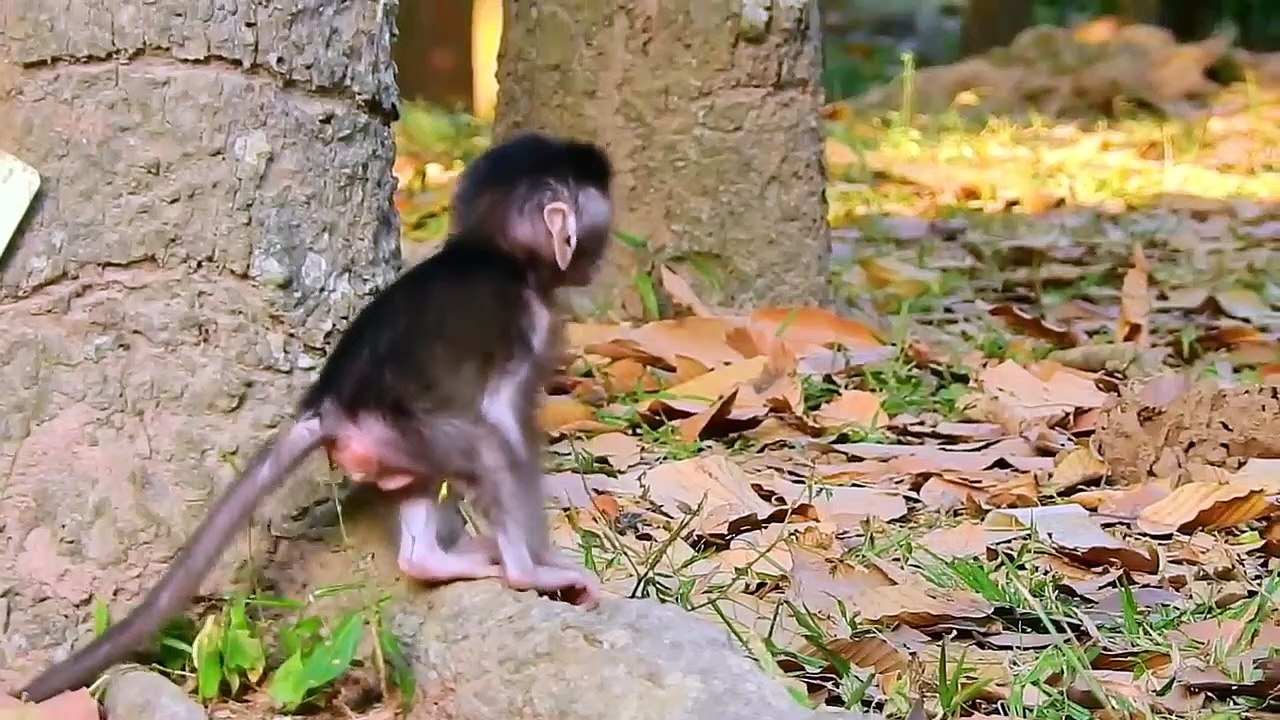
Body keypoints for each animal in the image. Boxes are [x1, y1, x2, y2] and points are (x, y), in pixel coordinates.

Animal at [15, 131, 614, 704]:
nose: (597, 259)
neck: (489, 248)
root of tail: (329, 406)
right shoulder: (530, 320)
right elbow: (506, 424)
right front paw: (544, 564)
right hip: (405, 433)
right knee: (488, 448)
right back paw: (520, 571)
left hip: (391, 445)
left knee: (419, 500)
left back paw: (431, 562)